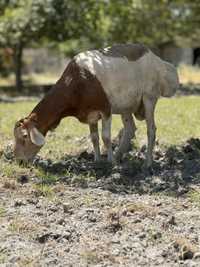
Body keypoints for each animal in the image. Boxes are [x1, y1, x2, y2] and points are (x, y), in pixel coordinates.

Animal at [14, 43, 180, 170]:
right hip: (126, 105)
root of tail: (158, 61)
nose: (19, 161)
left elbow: (106, 137)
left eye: (24, 137)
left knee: (151, 129)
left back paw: (147, 163)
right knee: (130, 129)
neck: (79, 81)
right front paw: (98, 161)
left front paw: (110, 162)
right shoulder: (89, 114)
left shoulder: (105, 109)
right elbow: (94, 137)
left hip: (149, 97)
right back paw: (119, 157)